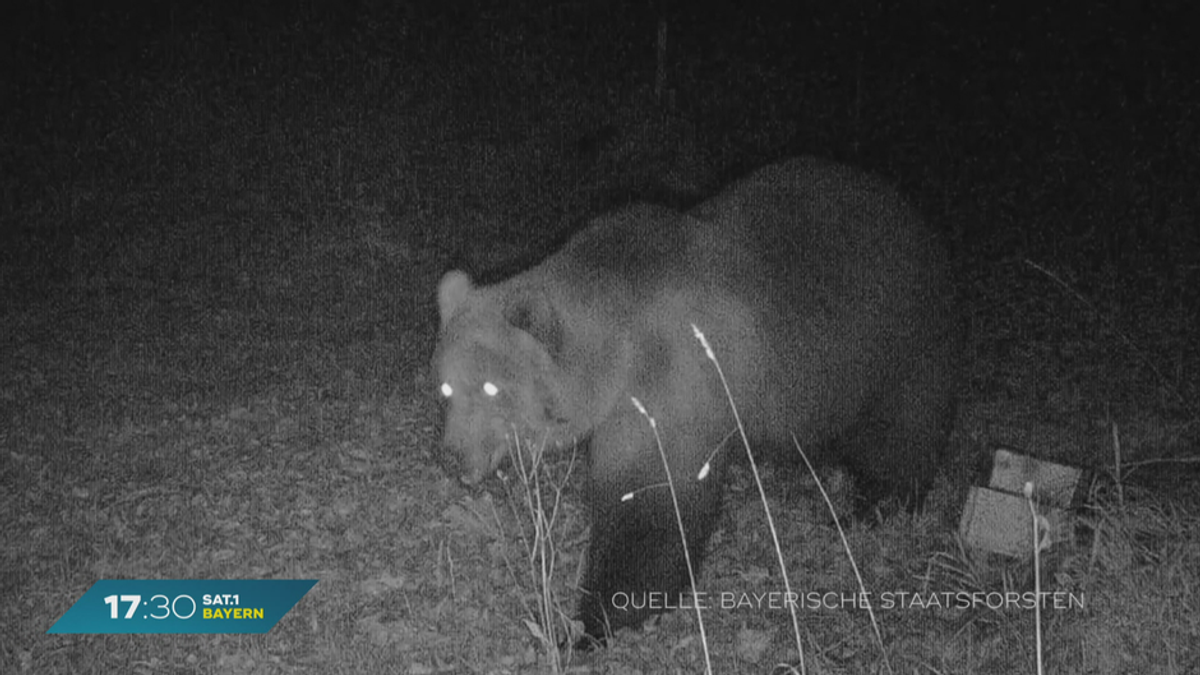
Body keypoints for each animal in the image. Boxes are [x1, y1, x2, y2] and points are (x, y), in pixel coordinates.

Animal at [432, 154, 955, 643]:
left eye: (492, 388)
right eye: (445, 387)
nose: (452, 456)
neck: (619, 351)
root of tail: (909, 212)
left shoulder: (673, 384)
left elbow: (652, 510)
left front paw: (593, 621)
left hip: (895, 342)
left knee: (902, 431)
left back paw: (871, 506)